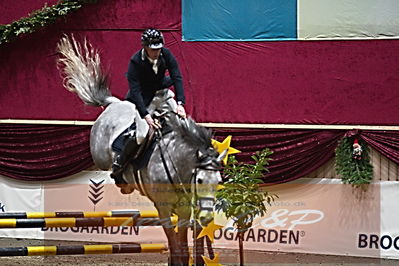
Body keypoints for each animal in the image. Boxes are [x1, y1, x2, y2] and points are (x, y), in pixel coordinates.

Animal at [56, 35, 225, 266]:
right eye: (199, 180)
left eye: (218, 181)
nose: (207, 218)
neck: (176, 164)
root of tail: (114, 103)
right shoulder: (163, 207)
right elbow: (174, 243)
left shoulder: (183, 208)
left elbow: (182, 244)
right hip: (101, 152)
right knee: (112, 161)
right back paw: (119, 174)